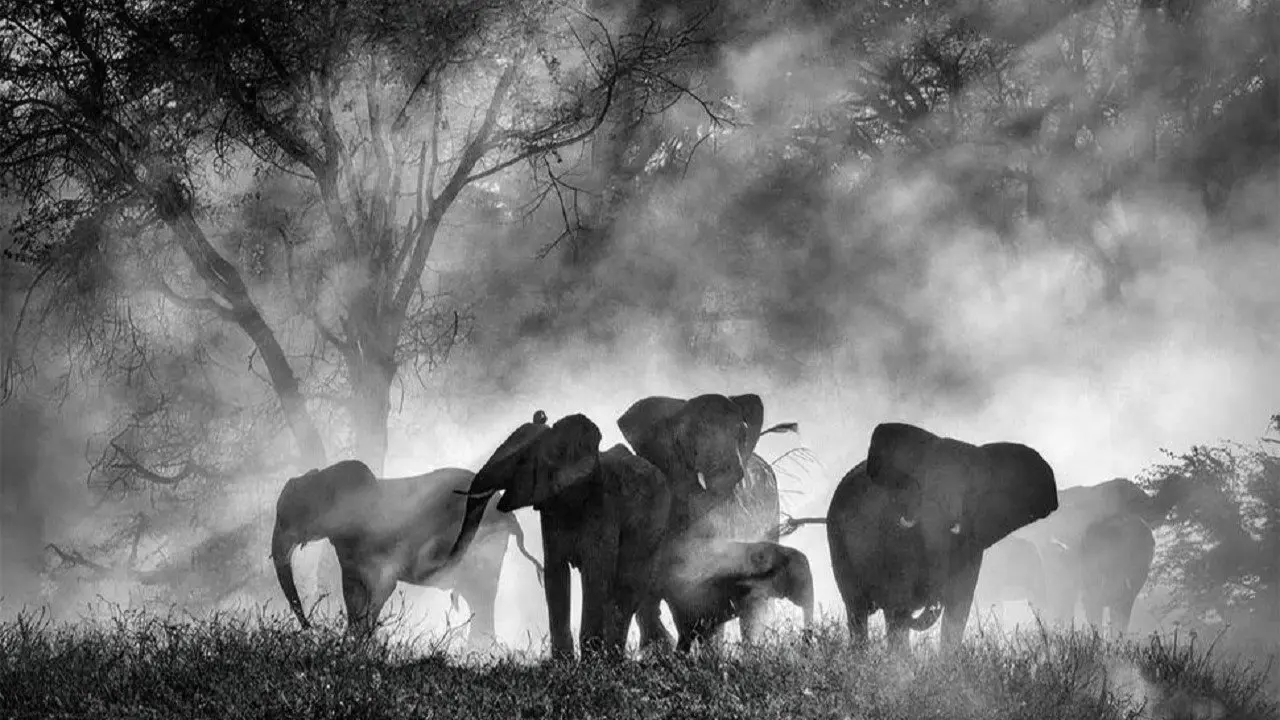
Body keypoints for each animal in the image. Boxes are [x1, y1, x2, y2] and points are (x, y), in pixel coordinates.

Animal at [270, 459, 543, 642]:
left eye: (287, 518)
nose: (311, 628)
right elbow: (352, 592)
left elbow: (382, 586)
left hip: (484, 545)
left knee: (481, 595)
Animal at [449, 411, 673, 660]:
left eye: (521, 462)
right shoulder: (550, 509)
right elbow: (555, 574)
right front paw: (562, 662)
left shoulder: (603, 506)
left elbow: (595, 574)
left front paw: (590, 663)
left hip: (654, 528)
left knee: (627, 588)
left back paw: (616, 659)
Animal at [665, 539, 815, 653]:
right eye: (801, 583)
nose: (804, 644)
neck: (780, 551)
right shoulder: (747, 590)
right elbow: (749, 621)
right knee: (690, 634)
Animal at [827, 422, 1059, 651]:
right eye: (920, 484)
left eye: (970, 491)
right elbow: (898, 603)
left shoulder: (972, 545)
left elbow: (958, 609)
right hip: (837, 541)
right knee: (857, 610)